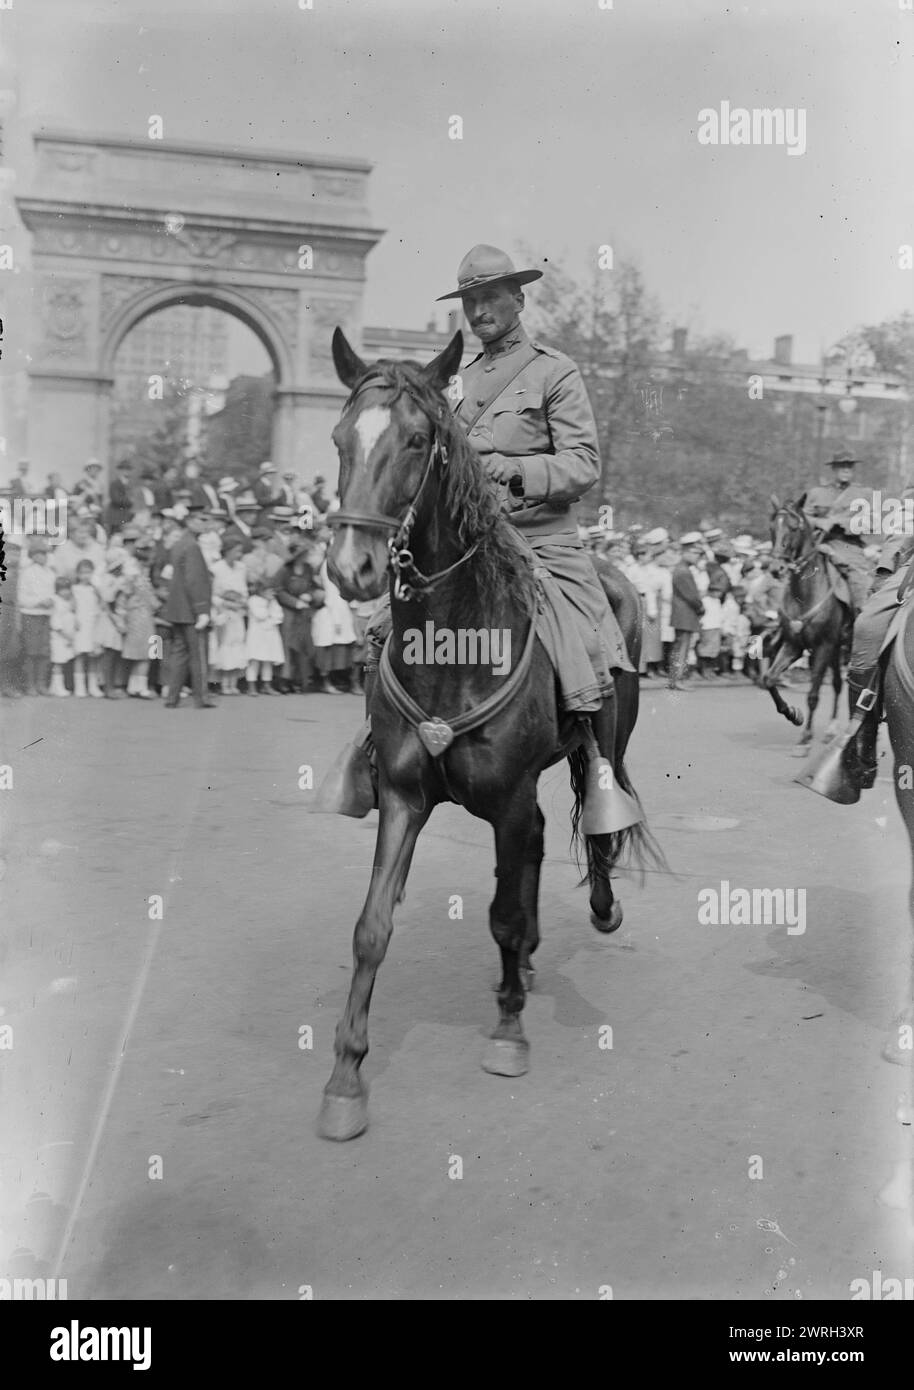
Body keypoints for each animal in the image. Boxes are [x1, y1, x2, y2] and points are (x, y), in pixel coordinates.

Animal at [316, 328, 650, 1139]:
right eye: (340, 437)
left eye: (416, 440)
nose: (352, 567)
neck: (453, 645)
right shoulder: (404, 796)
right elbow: (372, 927)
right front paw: (345, 1076)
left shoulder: (508, 797)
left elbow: (501, 914)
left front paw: (508, 1032)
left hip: (606, 741)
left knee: (593, 829)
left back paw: (592, 917)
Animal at [755, 500, 850, 756]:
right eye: (771, 527)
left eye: (794, 528)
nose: (776, 568)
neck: (805, 593)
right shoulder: (793, 645)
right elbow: (769, 679)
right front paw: (793, 715)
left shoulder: (823, 646)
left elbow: (813, 695)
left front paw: (805, 739)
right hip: (835, 649)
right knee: (838, 684)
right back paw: (831, 730)